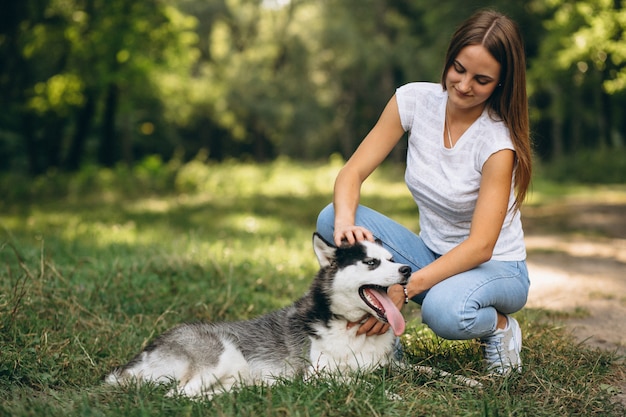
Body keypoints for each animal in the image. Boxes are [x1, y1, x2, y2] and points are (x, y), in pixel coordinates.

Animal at [105, 232, 412, 394]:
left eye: (391, 260)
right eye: (371, 263)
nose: (407, 269)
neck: (349, 326)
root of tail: (144, 353)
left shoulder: (388, 365)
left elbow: (417, 369)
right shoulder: (316, 376)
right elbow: (360, 383)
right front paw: (391, 395)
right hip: (221, 356)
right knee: (176, 395)